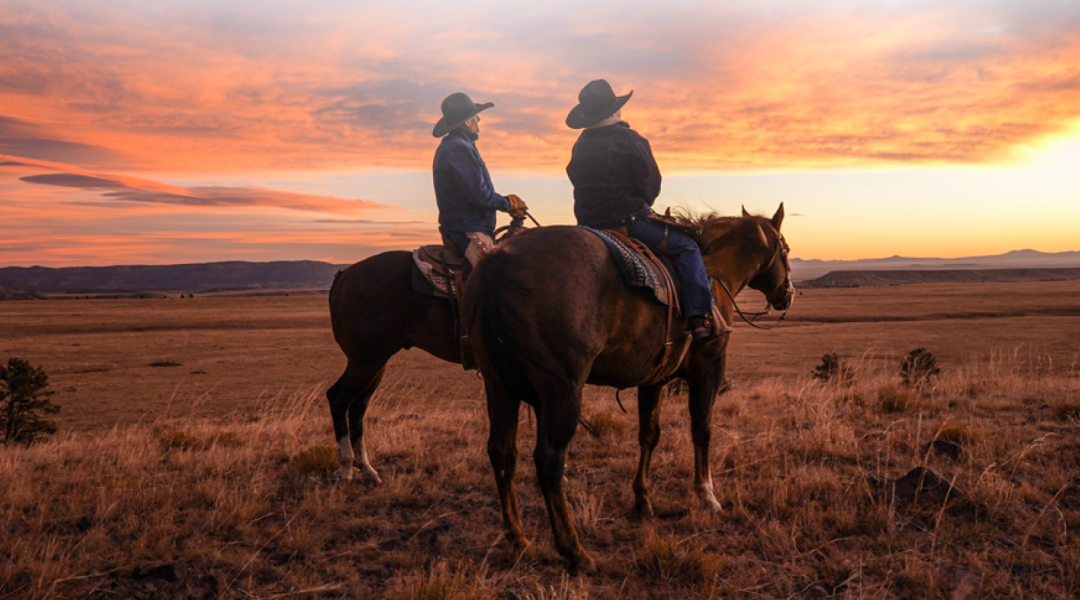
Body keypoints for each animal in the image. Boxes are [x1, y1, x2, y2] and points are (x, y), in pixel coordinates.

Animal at [464, 205, 794, 569]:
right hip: (562, 392)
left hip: (499, 387)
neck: (715, 270)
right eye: (786, 249)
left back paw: (518, 538)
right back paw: (574, 551)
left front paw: (642, 501)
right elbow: (702, 429)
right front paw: (707, 495)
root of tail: (499, 259)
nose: (788, 294)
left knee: (502, 453)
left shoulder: (654, 379)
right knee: (549, 460)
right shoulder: (709, 368)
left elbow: (649, 435)